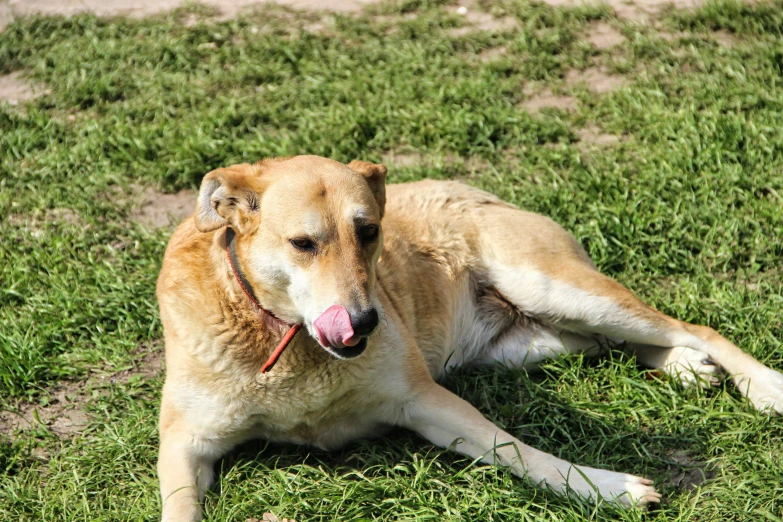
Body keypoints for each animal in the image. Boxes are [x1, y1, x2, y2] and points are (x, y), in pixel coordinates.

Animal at [155, 152, 783, 516]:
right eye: (303, 244)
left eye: (369, 232)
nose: (368, 321)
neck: (283, 338)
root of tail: (479, 190)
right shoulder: (183, 443)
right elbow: (178, 506)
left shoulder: (425, 401)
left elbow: (524, 453)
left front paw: (610, 489)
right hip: (531, 342)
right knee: (614, 342)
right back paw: (683, 364)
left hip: (555, 289)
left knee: (696, 327)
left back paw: (764, 386)